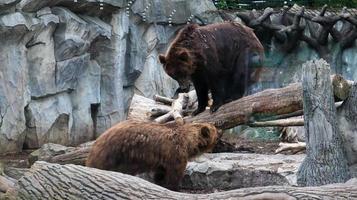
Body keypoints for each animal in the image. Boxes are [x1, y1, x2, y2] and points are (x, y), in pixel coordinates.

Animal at [86, 120, 220, 191]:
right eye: (216, 130)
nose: (220, 132)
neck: (188, 143)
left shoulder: (163, 158)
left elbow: (161, 172)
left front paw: (159, 182)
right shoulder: (175, 153)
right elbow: (174, 173)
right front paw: (173, 187)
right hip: (115, 154)